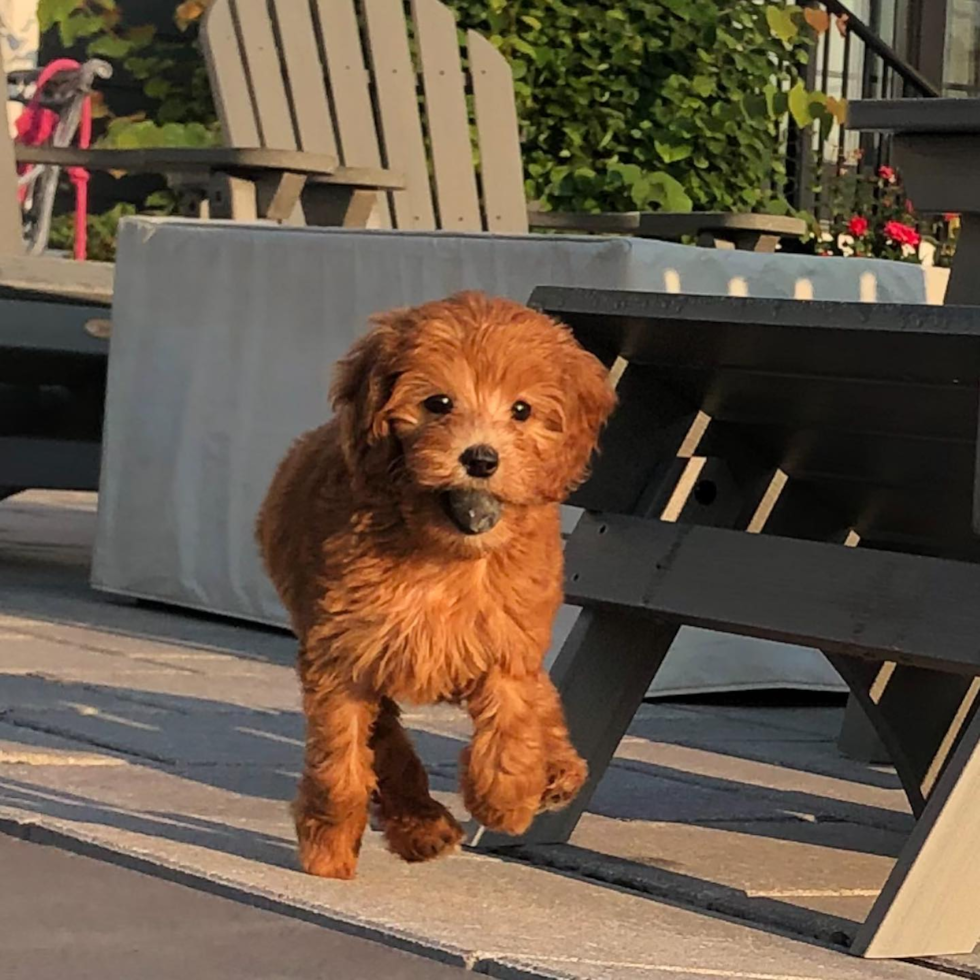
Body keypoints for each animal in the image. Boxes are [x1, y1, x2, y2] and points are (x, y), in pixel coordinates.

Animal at [256, 290, 616, 880]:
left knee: (542, 698)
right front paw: (329, 850)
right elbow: (342, 763)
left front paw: (507, 798)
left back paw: (559, 771)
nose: (481, 458)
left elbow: (515, 717)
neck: (446, 552)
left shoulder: (507, 639)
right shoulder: (342, 654)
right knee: (388, 741)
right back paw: (424, 829)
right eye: (438, 404)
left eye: (522, 410)